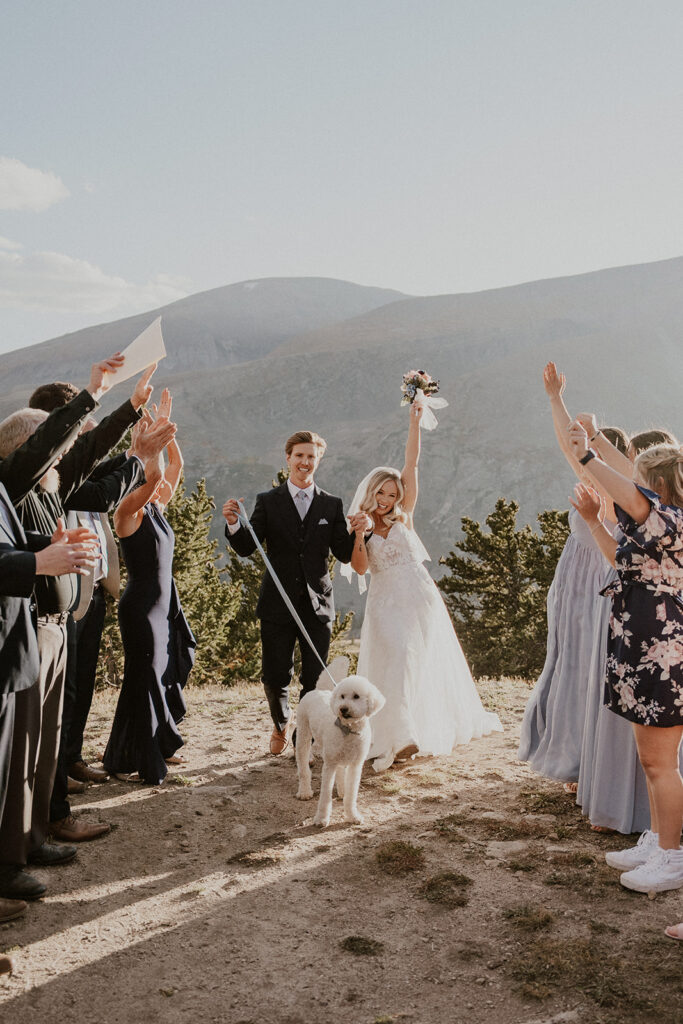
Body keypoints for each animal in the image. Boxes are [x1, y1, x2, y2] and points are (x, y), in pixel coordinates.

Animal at [296, 659, 387, 827]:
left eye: (356, 696)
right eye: (342, 696)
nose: (343, 709)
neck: (348, 730)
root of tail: (318, 690)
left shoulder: (355, 766)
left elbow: (352, 794)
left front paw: (352, 816)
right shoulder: (329, 765)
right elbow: (325, 795)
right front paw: (321, 819)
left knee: (339, 771)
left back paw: (342, 790)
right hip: (303, 736)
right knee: (303, 768)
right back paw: (304, 792)